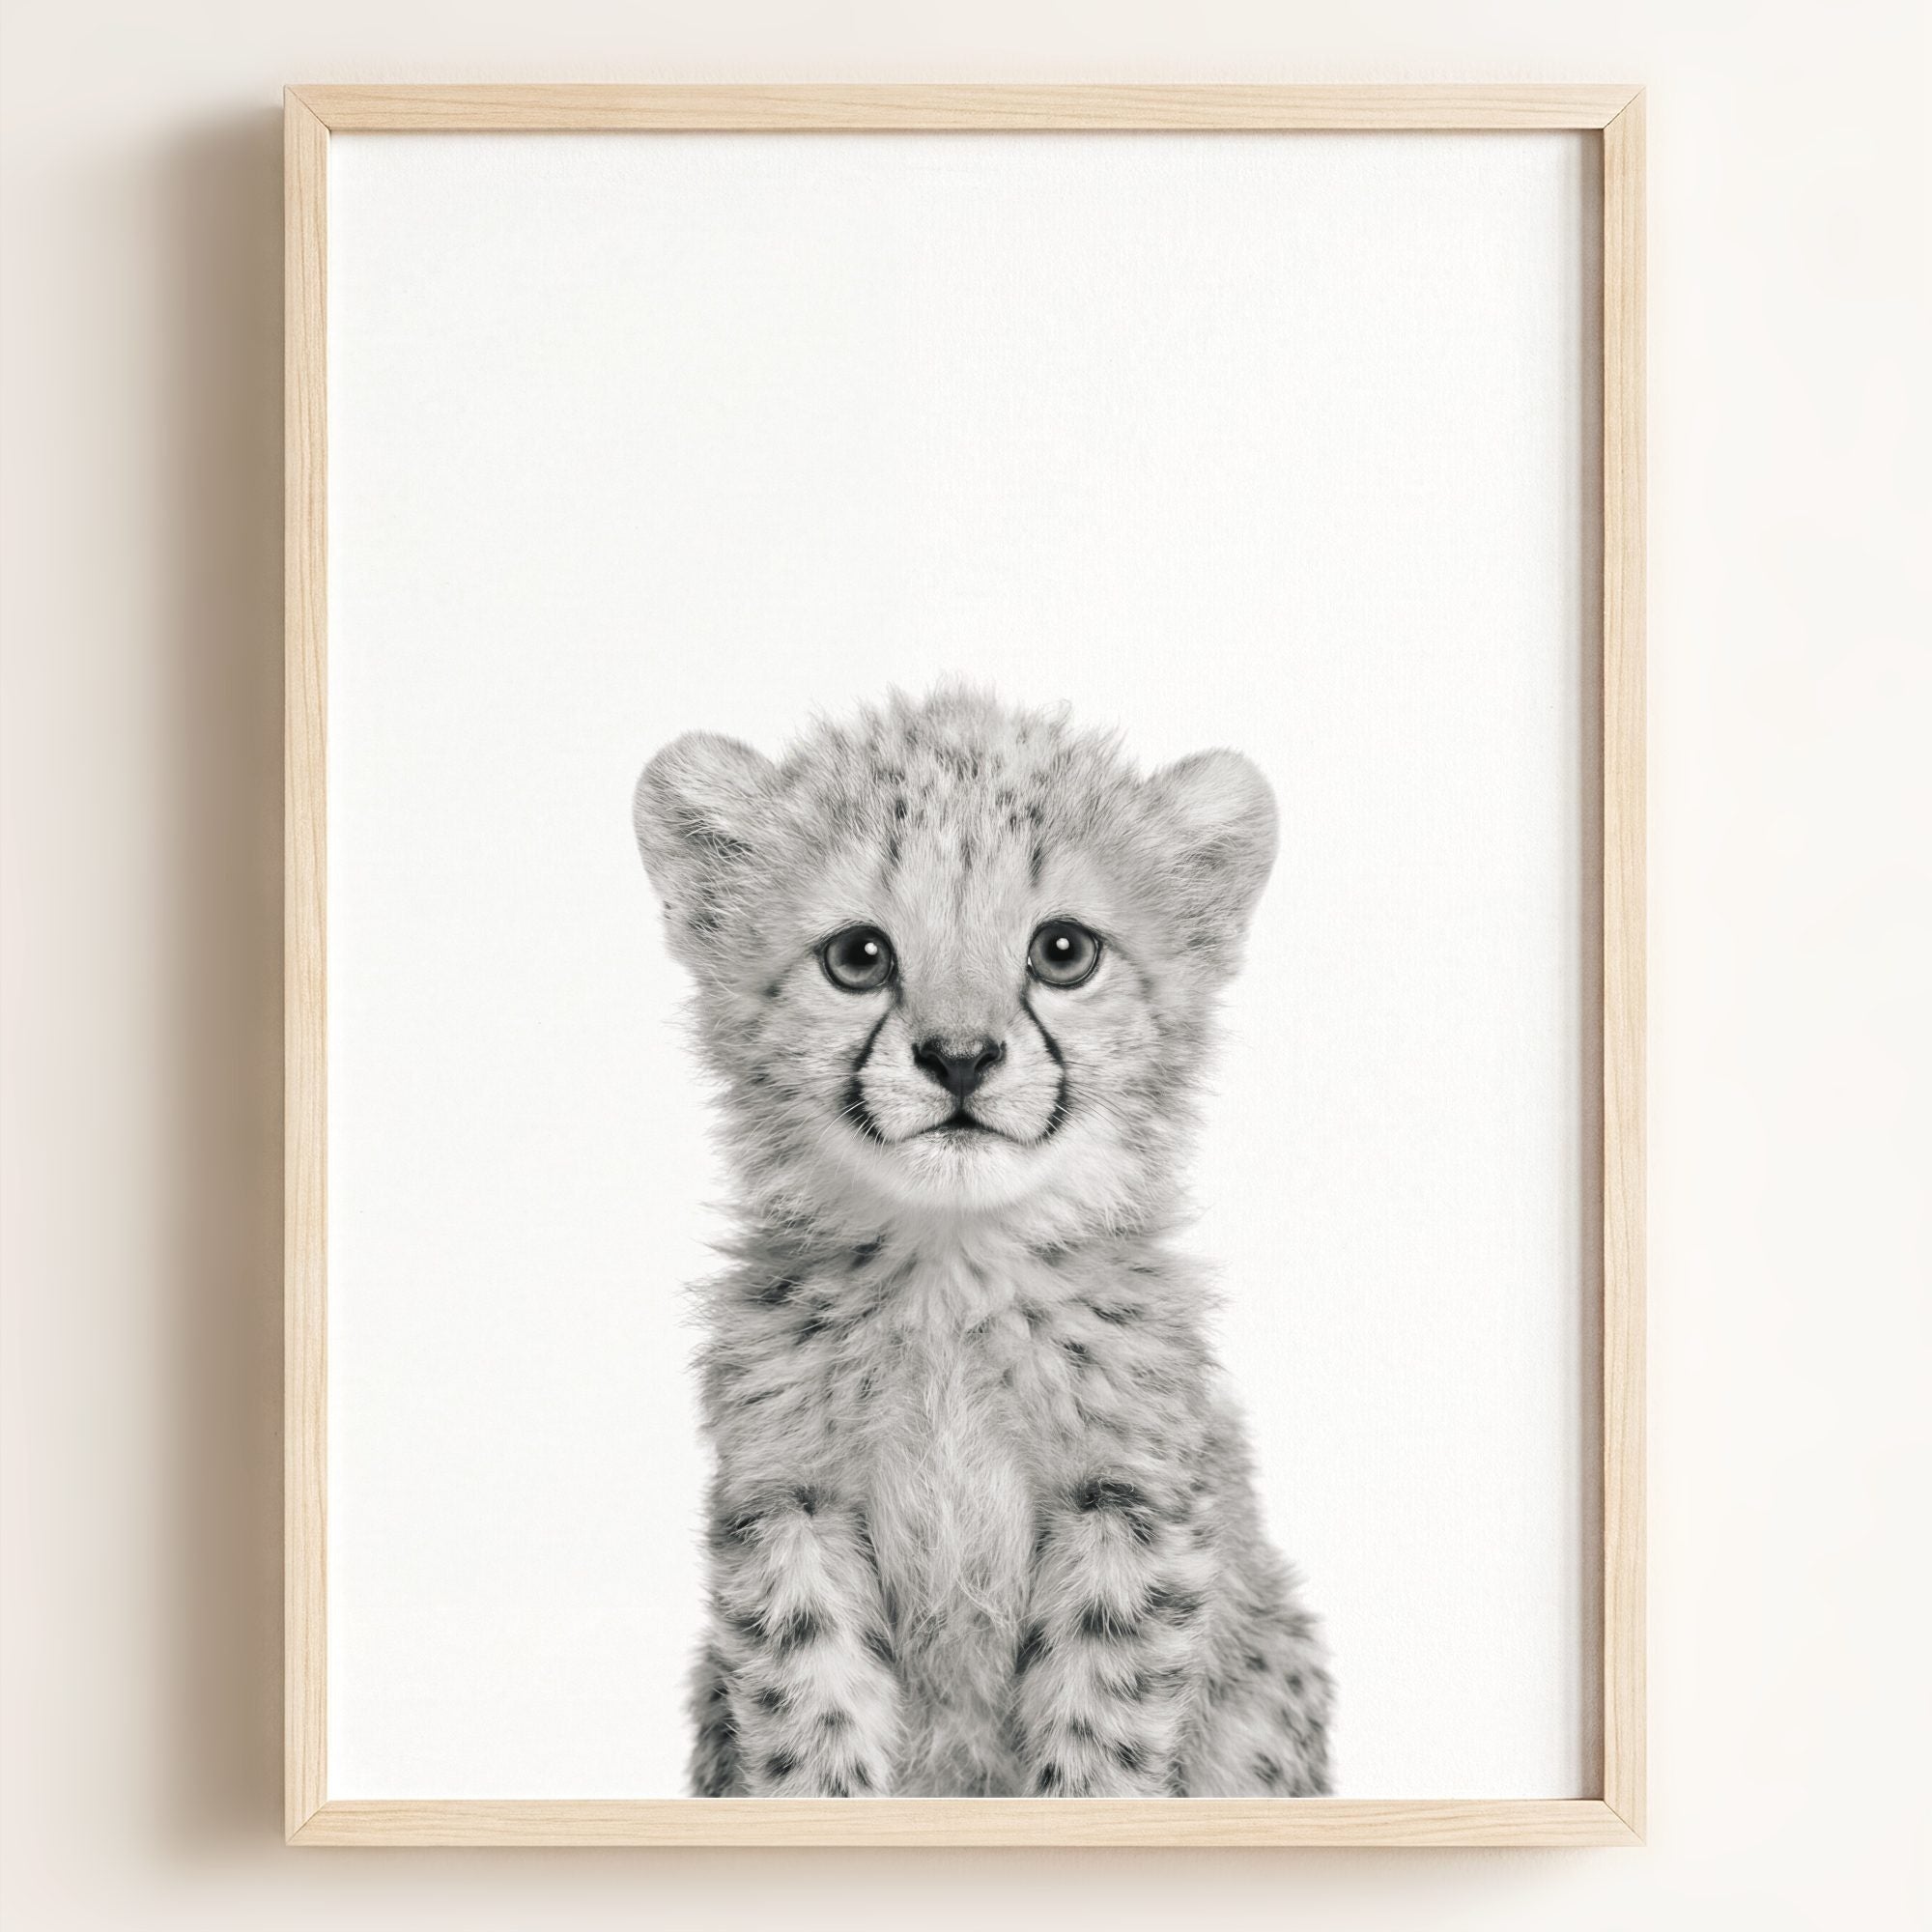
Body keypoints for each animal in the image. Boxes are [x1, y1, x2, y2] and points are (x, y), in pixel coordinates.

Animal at [632, 686, 1332, 1798]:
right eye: (858, 957)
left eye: (1063, 952)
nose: (959, 1057)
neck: (950, 1277)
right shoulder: (790, 1504)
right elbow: (809, 1710)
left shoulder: (1127, 1504)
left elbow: (1102, 1726)